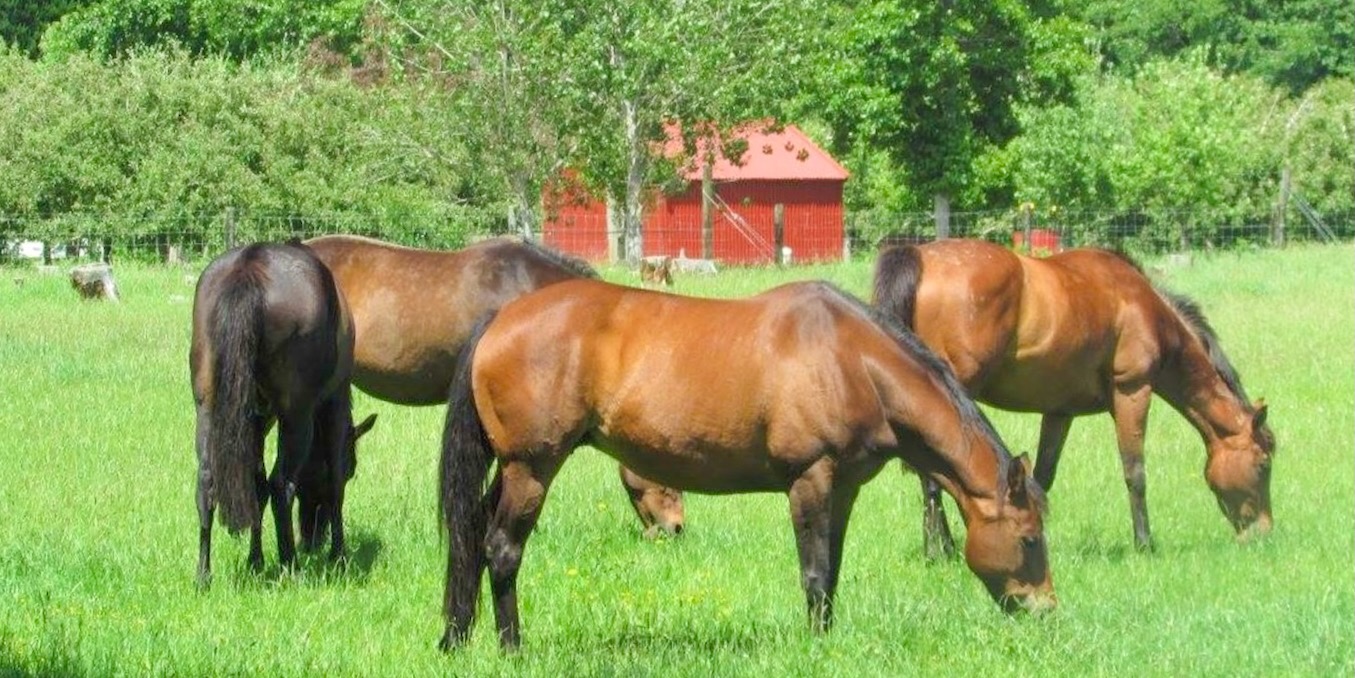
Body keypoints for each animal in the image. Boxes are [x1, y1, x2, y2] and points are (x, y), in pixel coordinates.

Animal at [190, 242, 371, 587]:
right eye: (354, 469)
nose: (312, 539)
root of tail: (250, 265)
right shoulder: (334, 404)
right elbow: (335, 481)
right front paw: (338, 556)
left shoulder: (257, 419)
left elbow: (255, 486)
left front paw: (255, 561)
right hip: (296, 415)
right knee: (281, 484)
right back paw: (291, 565)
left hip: (208, 407)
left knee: (208, 481)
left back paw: (204, 575)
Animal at [437, 278, 1055, 651]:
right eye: (1029, 539)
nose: (1045, 608)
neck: (852, 362)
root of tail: (500, 320)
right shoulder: (809, 480)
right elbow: (813, 572)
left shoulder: (843, 489)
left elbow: (831, 570)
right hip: (532, 468)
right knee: (502, 549)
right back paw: (512, 647)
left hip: (511, 469)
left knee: (471, 535)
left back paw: (457, 637)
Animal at [872, 239, 1274, 555]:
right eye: (1264, 464)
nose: (1263, 534)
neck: (1146, 309)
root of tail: (920, 255)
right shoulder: (1132, 392)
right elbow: (1135, 472)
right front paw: (1144, 543)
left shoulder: (1059, 412)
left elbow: (1043, 475)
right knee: (933, 476)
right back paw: (940, 551)